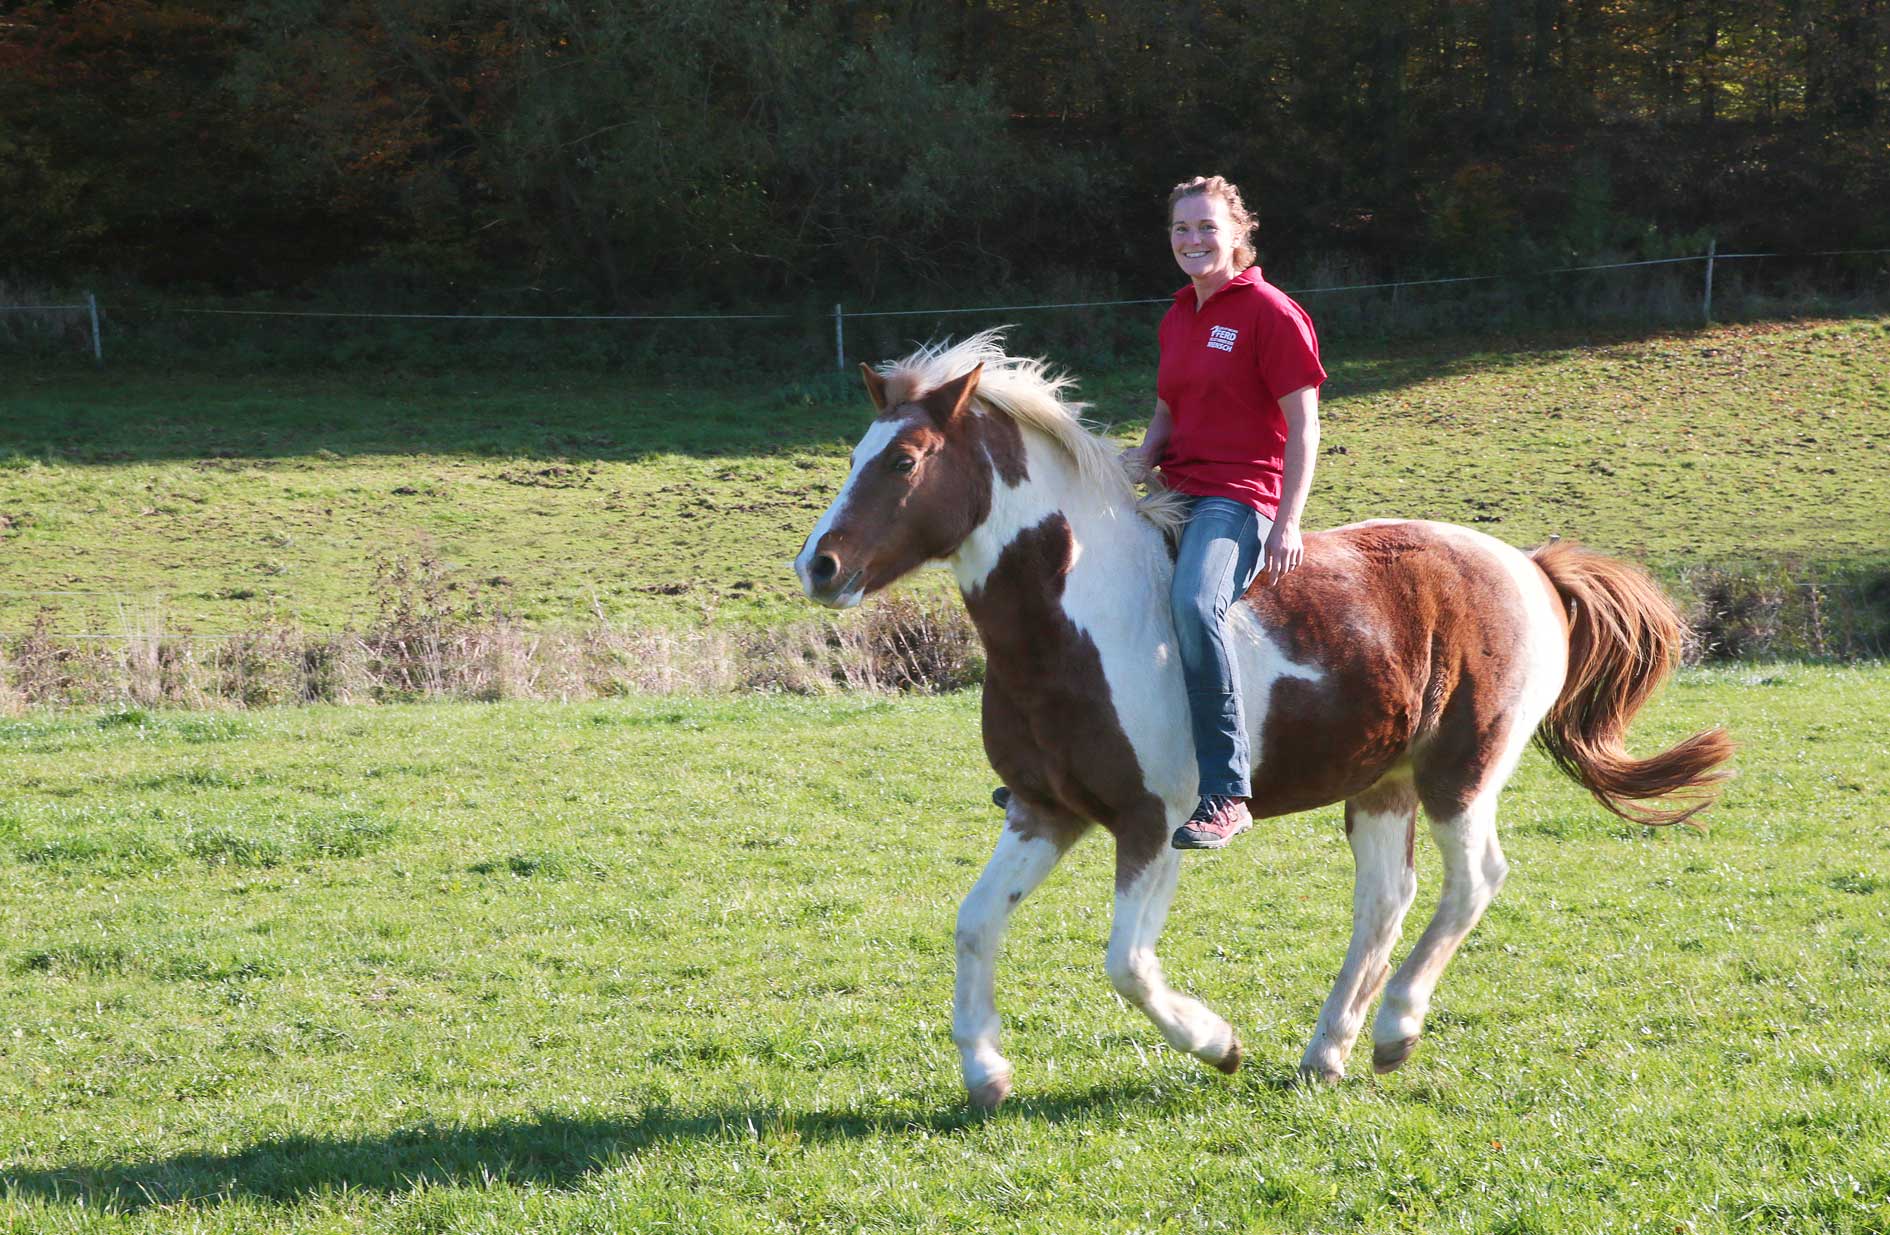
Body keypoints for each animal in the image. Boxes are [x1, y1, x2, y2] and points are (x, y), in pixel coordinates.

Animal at [790, 329, 1731, 1104]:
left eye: (906, 459)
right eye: (858, 453)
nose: (818, 565)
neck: (1081, 616)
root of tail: (1529, 566)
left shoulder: (1156, 820)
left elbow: (1127, 963)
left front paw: (1218, 1042)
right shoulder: (1042, 810)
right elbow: (976, 922)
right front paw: (986, 1071)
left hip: (1461, 772)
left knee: (1473, 882)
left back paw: (1396, 1028)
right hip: (1384, 782)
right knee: (1384, 900)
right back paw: (1329, 1050)